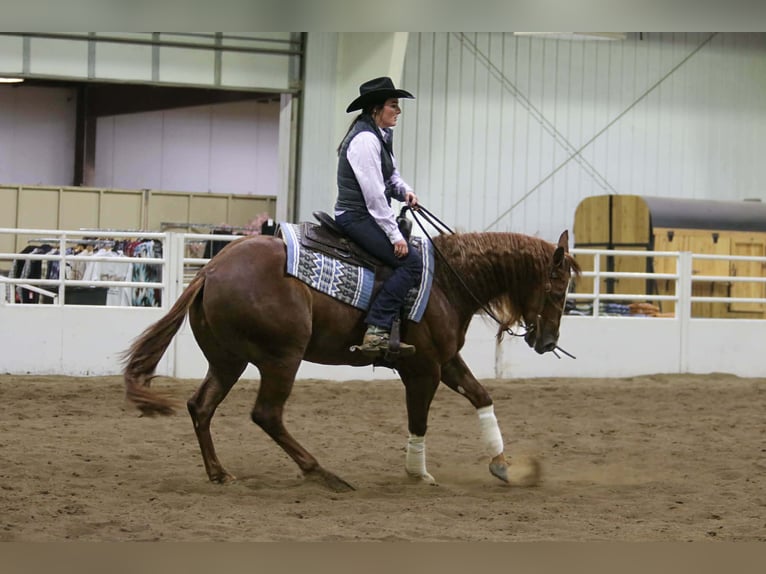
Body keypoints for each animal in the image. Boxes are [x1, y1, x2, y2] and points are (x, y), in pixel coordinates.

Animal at [123, 226, 580, 491]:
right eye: (557, 291)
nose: (548, 340)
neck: (446, 282)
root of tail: (209, 271)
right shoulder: (423, 369)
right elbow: (419, 421)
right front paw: (418, 472)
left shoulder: (446, 361)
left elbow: (482, 396)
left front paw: (503, 465)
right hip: (281, 358)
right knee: (266, 414)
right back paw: (322, 473)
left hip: (228, 361)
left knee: (201, 406)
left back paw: (219, 472)